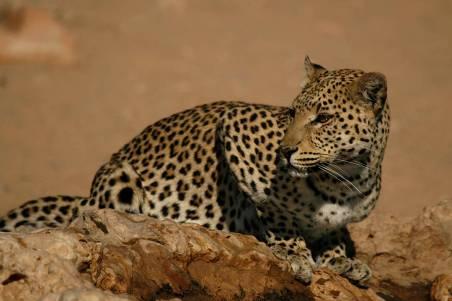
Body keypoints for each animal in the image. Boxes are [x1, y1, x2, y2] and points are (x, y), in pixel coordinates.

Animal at [0, 56, 388, 284]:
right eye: (292, 113)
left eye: (323, 119)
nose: (285, 151)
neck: (345, 179)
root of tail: (85, 196)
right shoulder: (234, 123)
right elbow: (275, 211)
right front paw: (294, 253)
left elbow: (333, 234)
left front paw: (341, 260)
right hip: (120, 178)